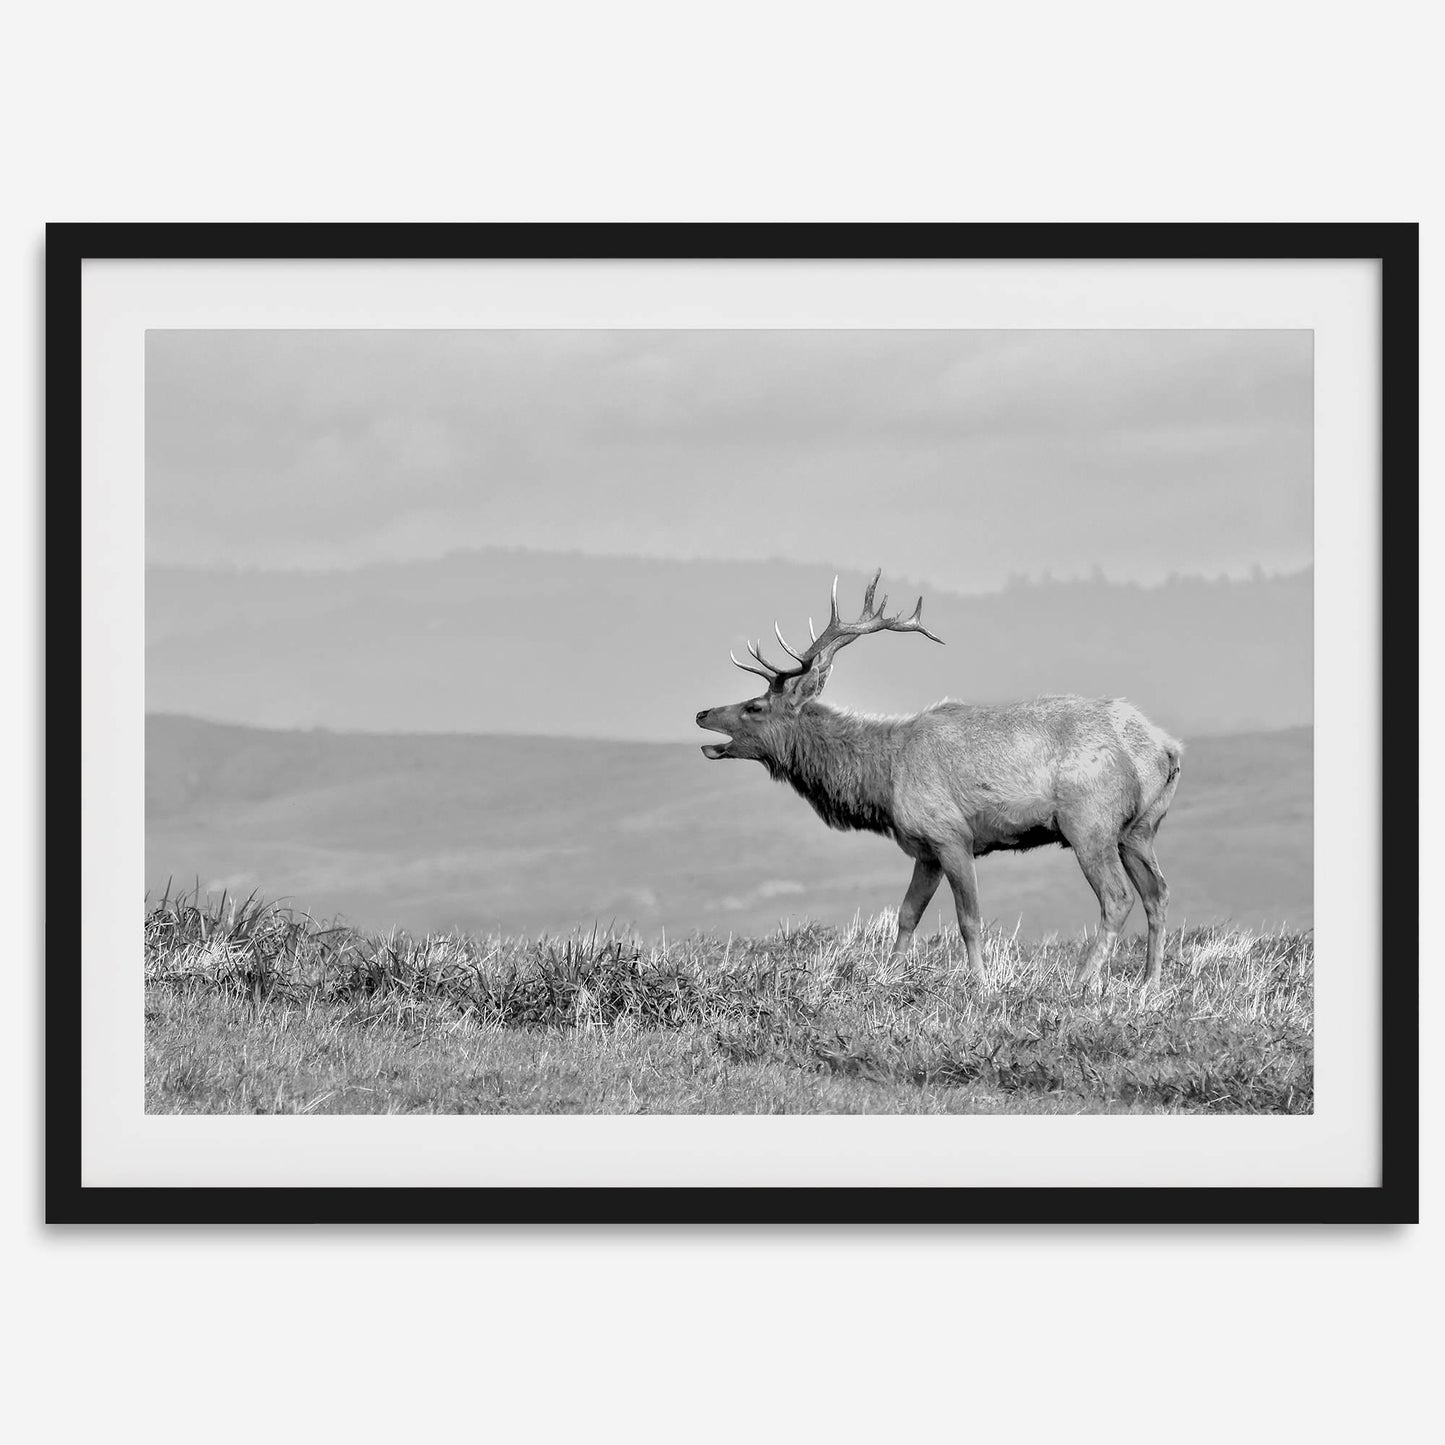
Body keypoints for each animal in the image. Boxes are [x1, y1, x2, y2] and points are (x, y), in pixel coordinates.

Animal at [695, 571, 1183, 987]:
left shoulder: (952, 836)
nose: (701, 713)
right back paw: (1150, 982)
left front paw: (980, 984)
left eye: (755, 706)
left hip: (1089, 823)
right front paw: (889, 976)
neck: (882, 780)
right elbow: (907, 915)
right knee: (1157, 893)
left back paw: (1082, 982)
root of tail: (1166, 748)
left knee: (1117, 897)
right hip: (1139, 829)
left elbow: (969, 919)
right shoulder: (924, 849)